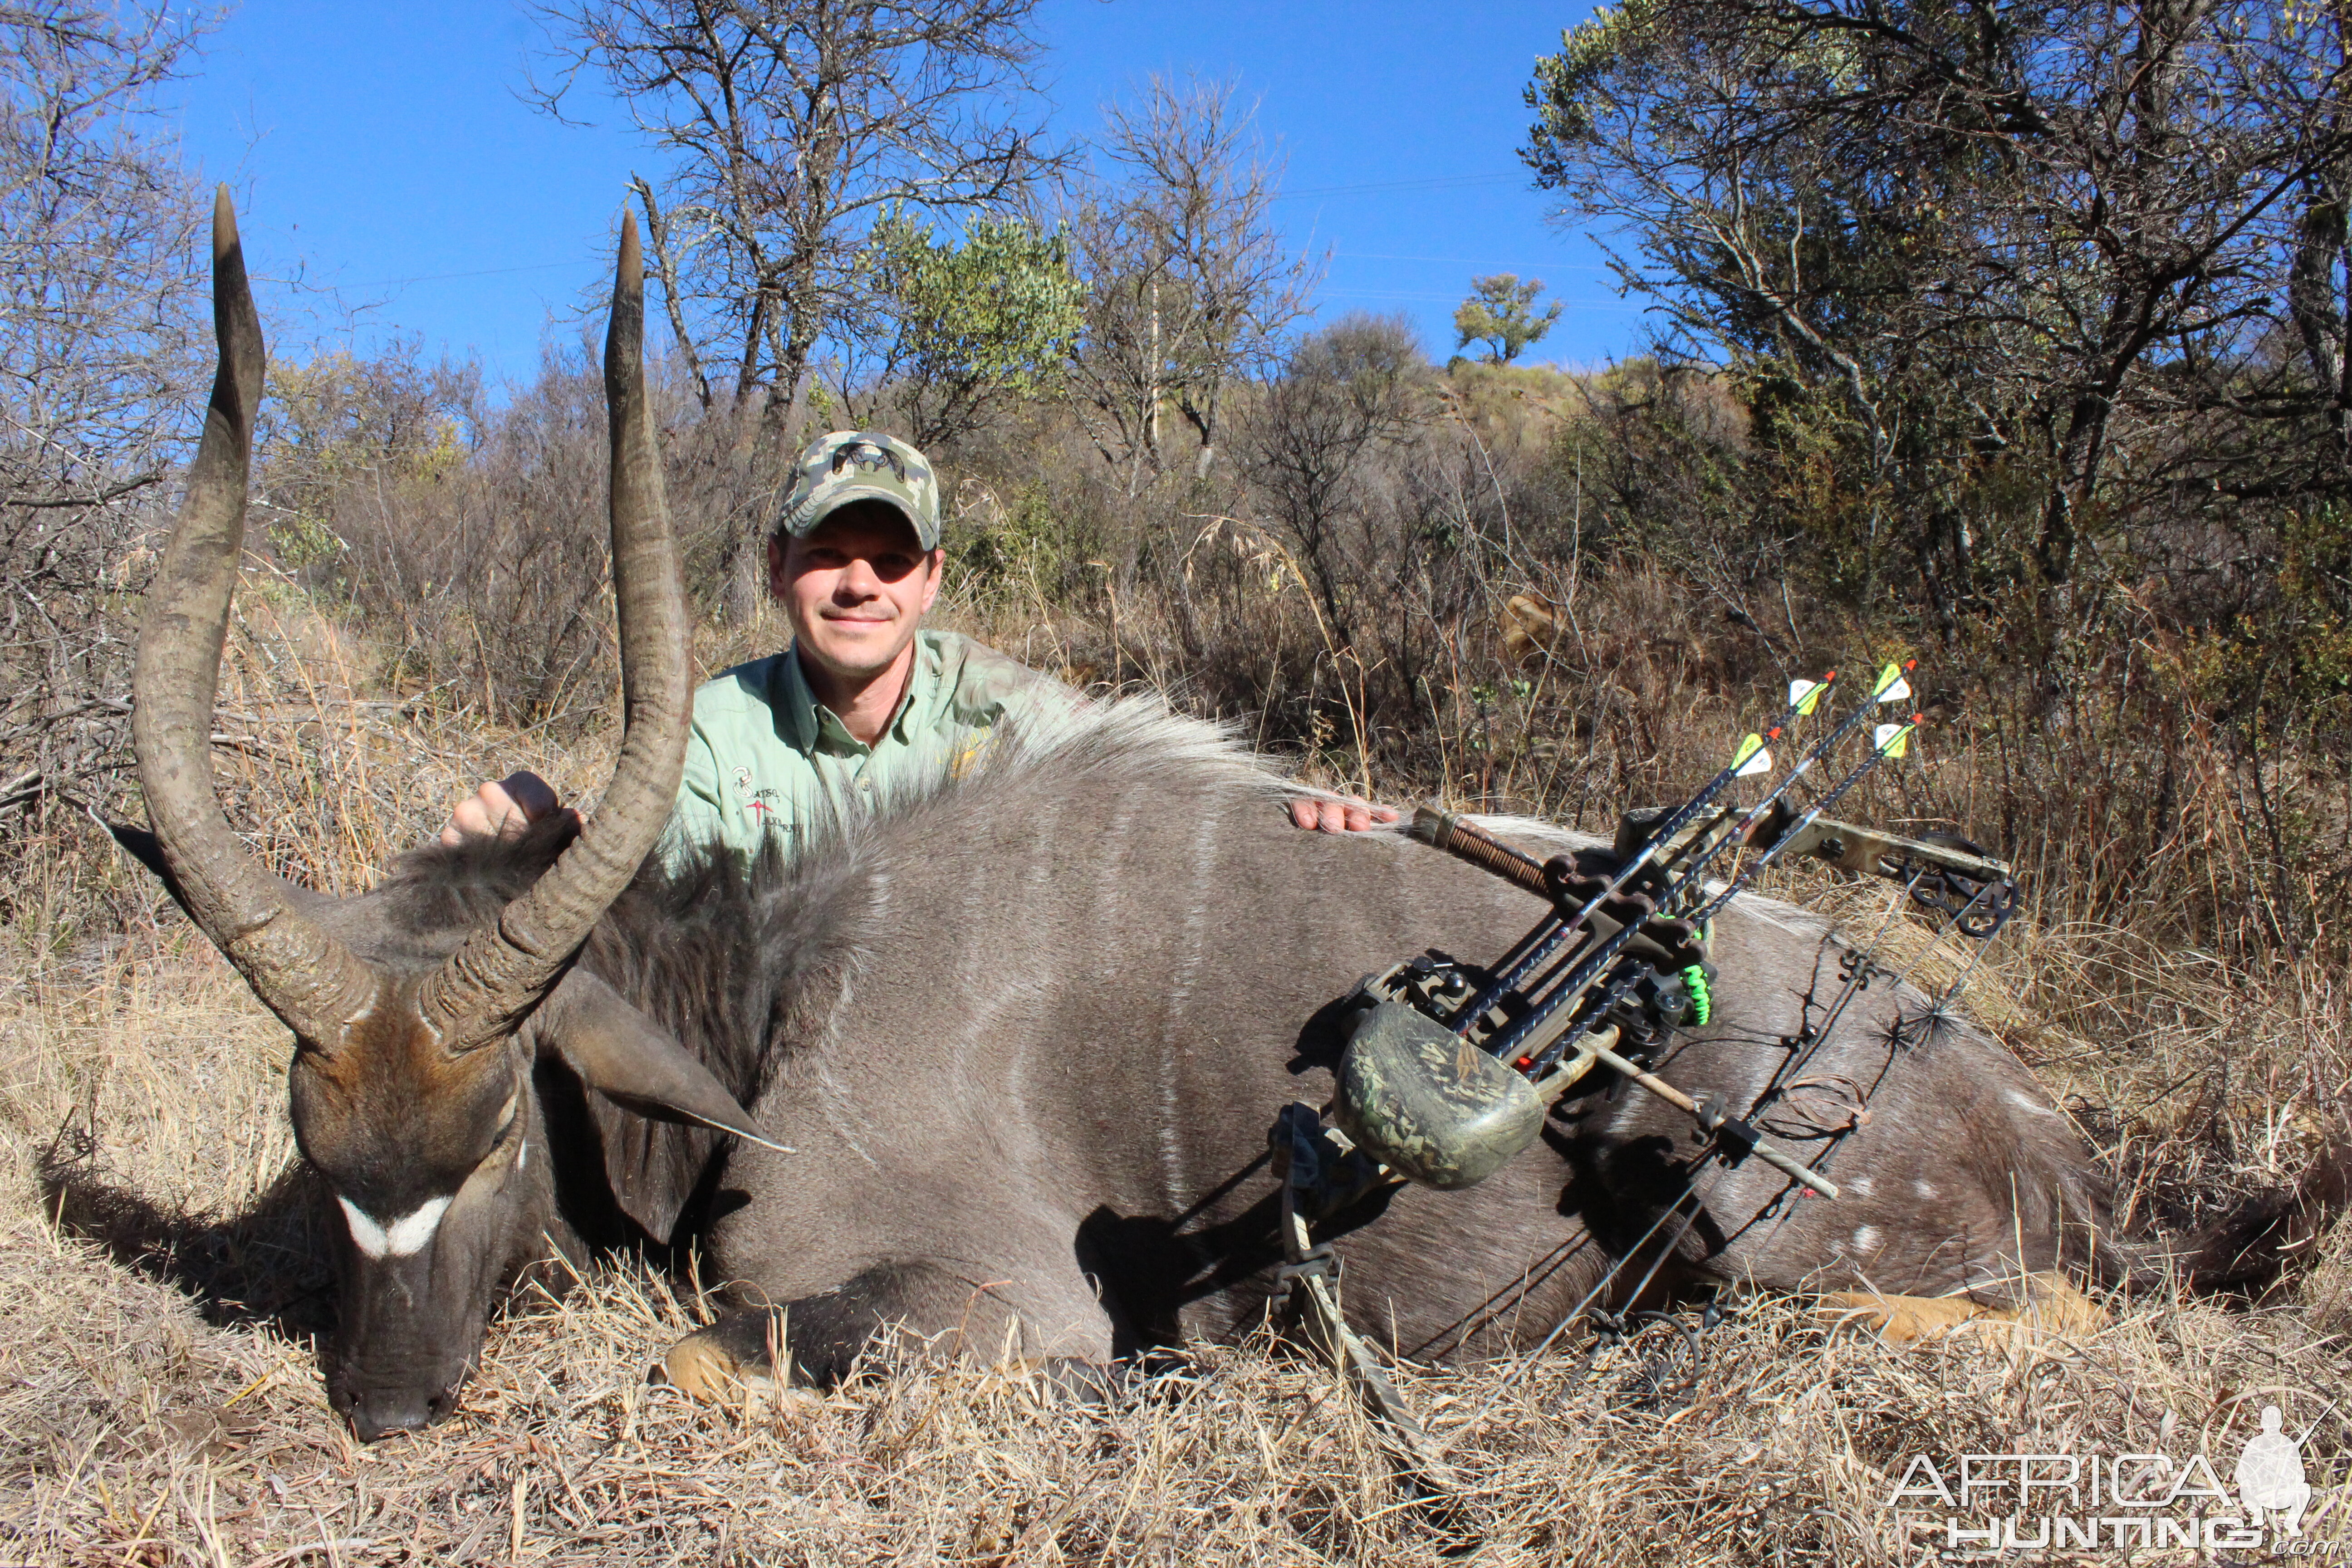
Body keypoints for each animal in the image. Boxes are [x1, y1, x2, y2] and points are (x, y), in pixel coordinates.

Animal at [124, 200, 2314, 1448]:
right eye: (316, 1145)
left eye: (496, 1133)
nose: (383, 1407)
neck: (779, 979)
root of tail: (2057, 1141)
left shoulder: (972, 1303)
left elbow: (730, 1343)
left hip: (1770, 1212)